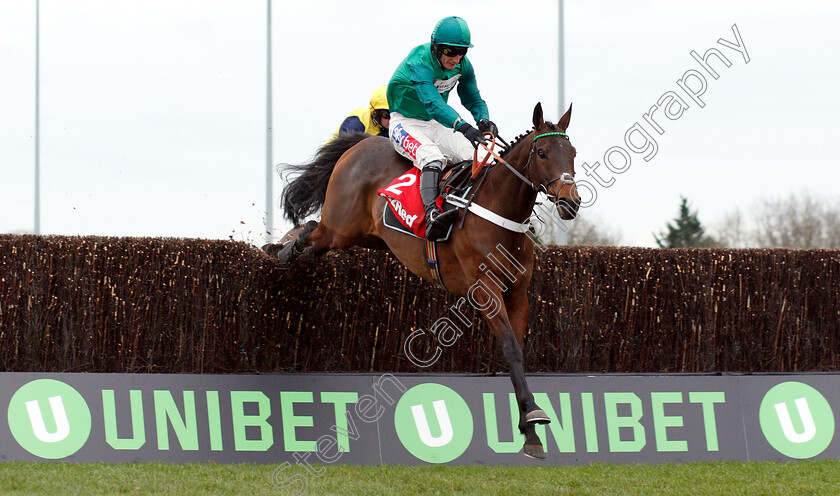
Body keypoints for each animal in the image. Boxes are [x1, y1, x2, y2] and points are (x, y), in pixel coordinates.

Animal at [270, 102, 576, 460]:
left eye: (573, 152)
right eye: (542, 152)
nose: (571, 202)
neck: (499, 211)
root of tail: (360, 144)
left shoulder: (518, 293)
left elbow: (519, 352)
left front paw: (530, 431)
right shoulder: (485, 290)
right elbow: (511, 349)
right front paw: (533, 416)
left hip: (365, 237)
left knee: (314, 237)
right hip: (340, 228)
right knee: (311, 229)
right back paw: (280, 249)